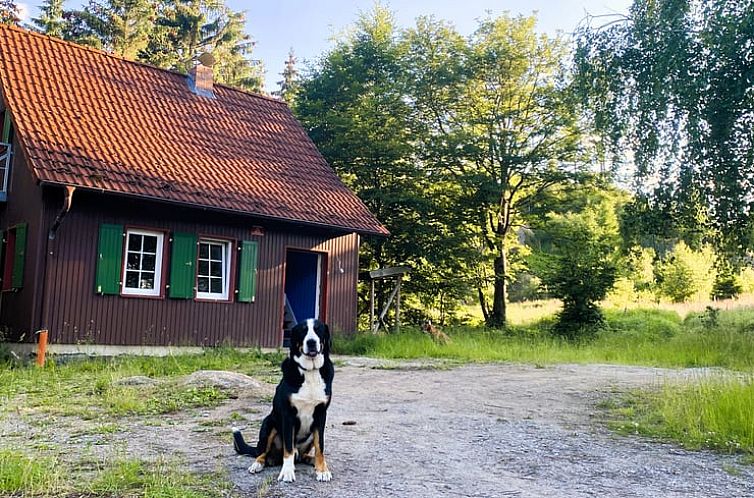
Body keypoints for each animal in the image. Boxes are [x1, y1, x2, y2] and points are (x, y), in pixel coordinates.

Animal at [231, 320, 334, 482]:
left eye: (318, 329)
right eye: (303, 330)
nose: (311, 342)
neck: (310, 372)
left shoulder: (321, 415)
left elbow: (320, 446)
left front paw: (322, 469)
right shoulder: (288, 416)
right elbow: (289, 448)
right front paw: (287, 472)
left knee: (302, 455)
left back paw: (310, 459)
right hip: (269, 424)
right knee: (263, 452)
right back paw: (259, 463)